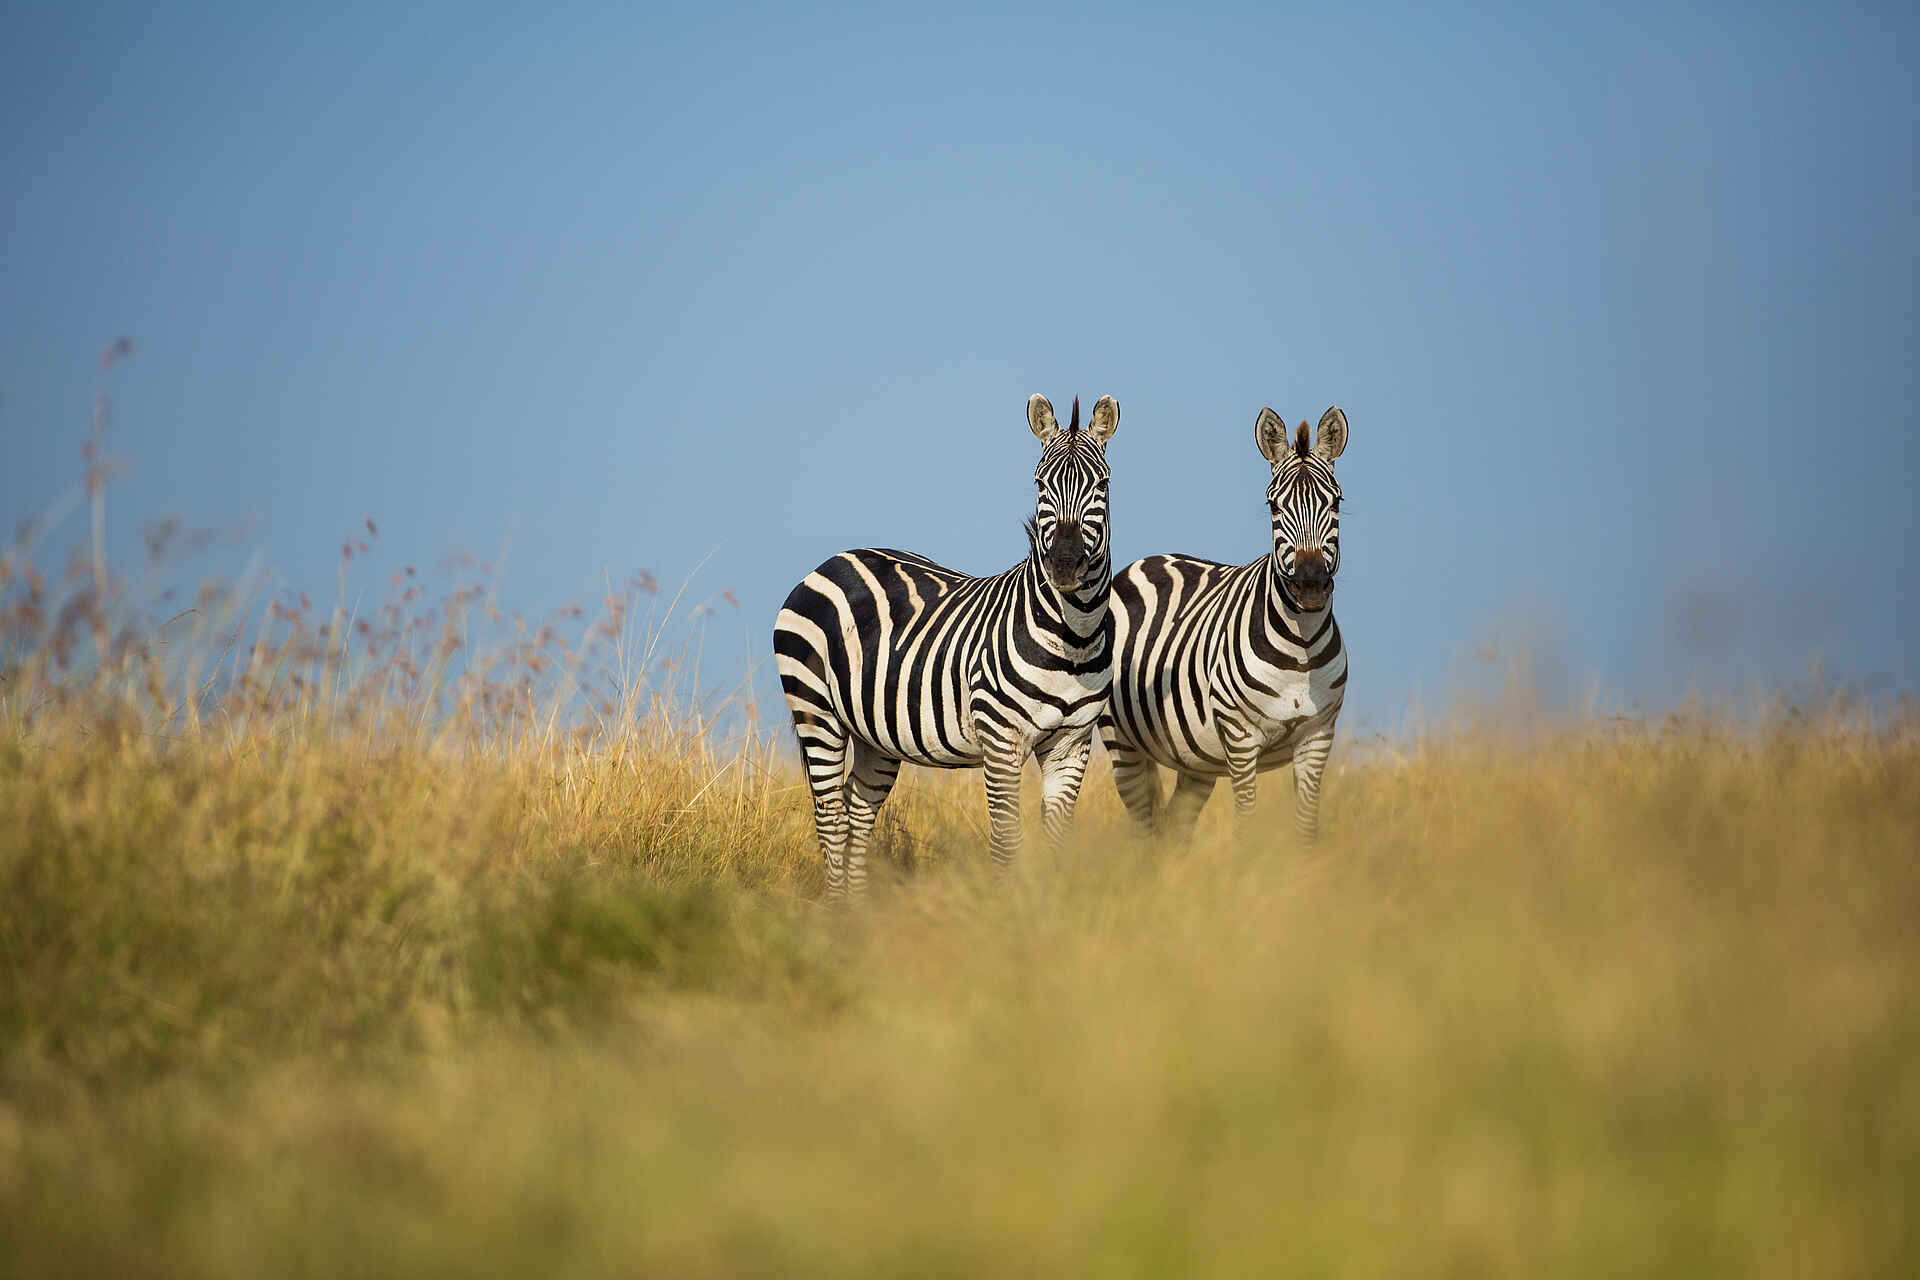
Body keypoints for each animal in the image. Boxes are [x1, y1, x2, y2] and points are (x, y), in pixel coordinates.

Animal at [774, 393, 1120, 903]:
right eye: (1039, 484)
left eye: (1101, 484)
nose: (1064, 564)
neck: (1071, 638)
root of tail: (833, 560)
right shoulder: (1000, 738)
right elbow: (1007, 839)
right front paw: (1007, 911)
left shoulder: (1071, 744)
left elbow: (1057, 838)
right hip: (816, 711)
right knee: (831, 817)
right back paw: (838, 910)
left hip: (874, 733)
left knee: (858, 810)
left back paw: (857, 911)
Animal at [1099, 405, 1349, 843]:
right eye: (1273, 507)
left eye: (1335, 502)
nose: (1310, 584)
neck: (1301, 648)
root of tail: (1147, 560)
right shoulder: (1240, 737)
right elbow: (1247, 823)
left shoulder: (1318, 736)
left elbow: (1306, 828)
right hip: (1123, 743)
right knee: (1146, 829)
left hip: (1195, 758)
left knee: (1174, 827)